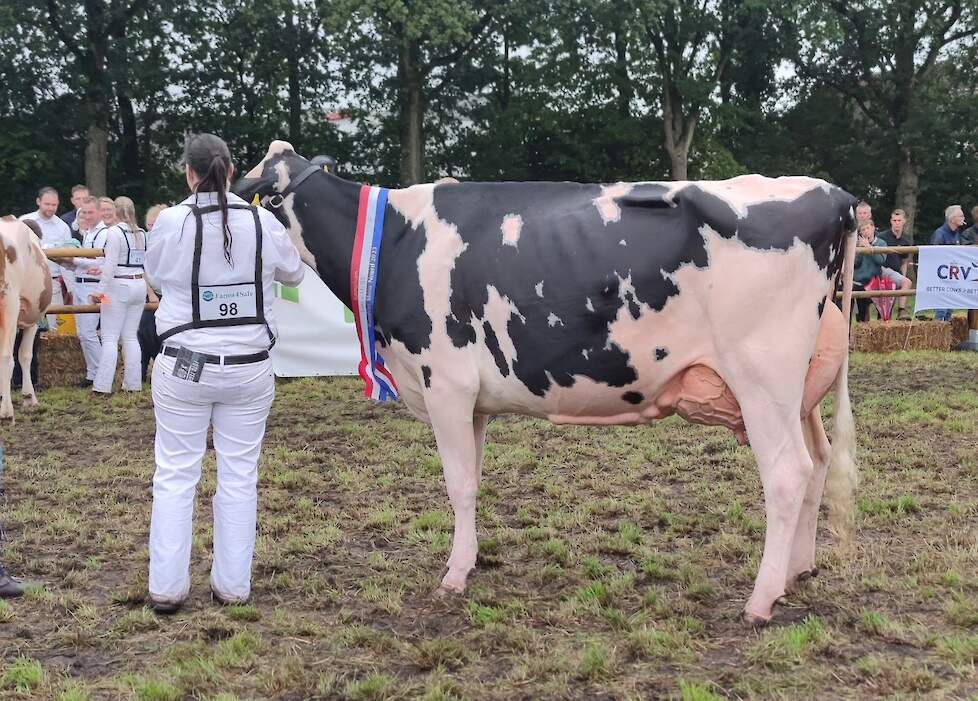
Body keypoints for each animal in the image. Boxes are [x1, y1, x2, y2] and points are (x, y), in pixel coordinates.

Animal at [0, 216, 52, 418]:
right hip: (10, 304)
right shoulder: (32, 320)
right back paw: (6, 411)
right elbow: (24, 355)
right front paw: (29, 397)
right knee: (7, 356)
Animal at [234, 142, 856, 624]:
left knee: (787, 474)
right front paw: (471, 561)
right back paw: (798, 571)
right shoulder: (473, 401)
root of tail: (835, 195)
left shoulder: (445, 382)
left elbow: (457, 483)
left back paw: (761, 600)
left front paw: (454, 575)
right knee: (818, 461)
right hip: (799, 389)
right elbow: (473, 481)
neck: (396, 243)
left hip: (762, 376)